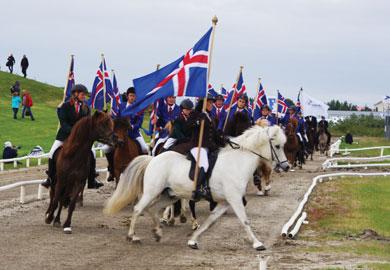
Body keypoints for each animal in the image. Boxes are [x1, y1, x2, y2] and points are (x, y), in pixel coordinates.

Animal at [103, 124, 290, 251]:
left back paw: (157, 233)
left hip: (169, 195)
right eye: (277, 146)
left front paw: (193, 240)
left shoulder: (225, 202)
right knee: (138, 208)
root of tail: (153, 159)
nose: (286, 167)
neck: (236, 162)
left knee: (152, 209)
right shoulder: (235, 199)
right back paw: (132, 237)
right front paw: (258, 244)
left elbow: (209, 222)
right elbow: (245, 221)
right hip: (152, 192)